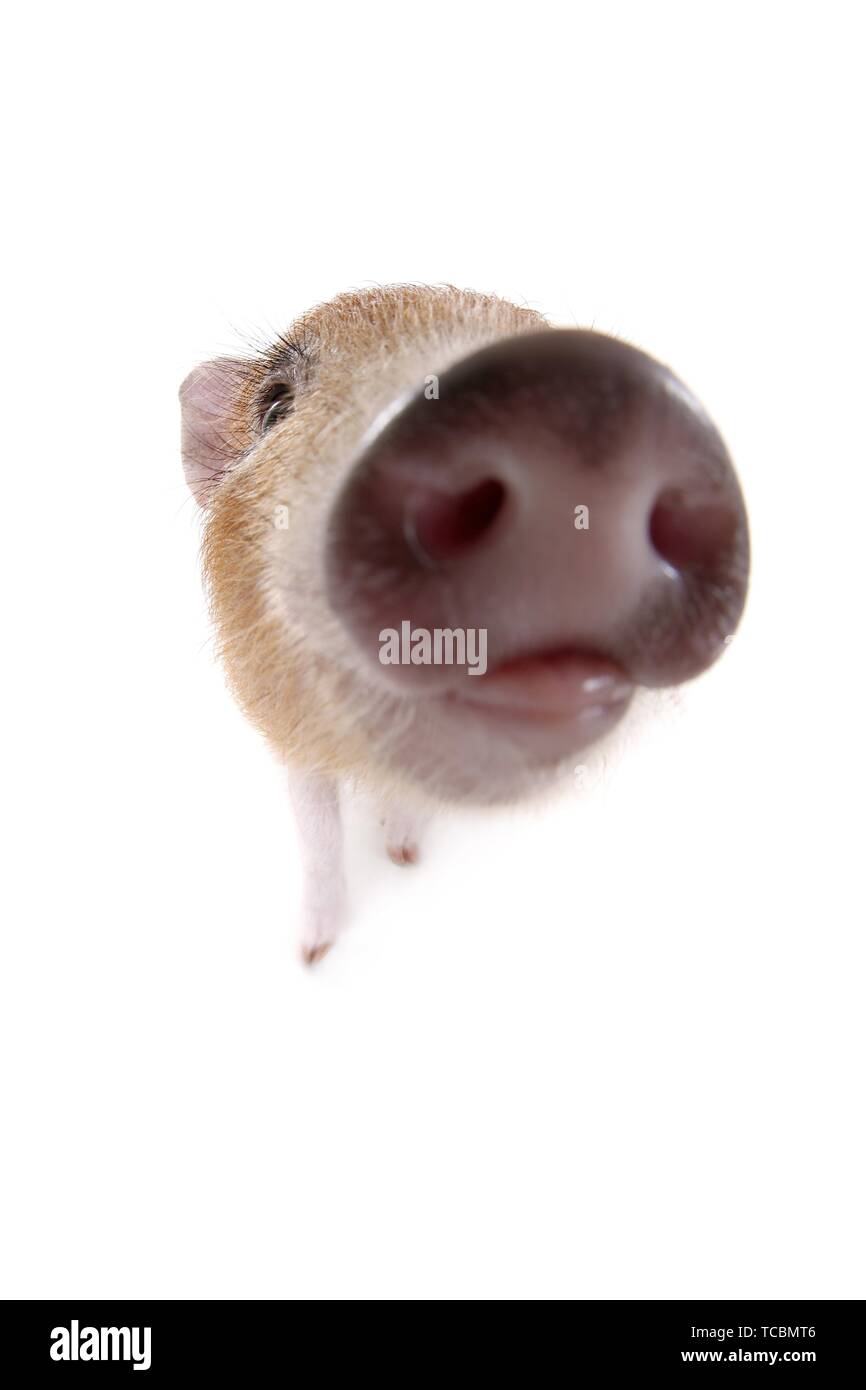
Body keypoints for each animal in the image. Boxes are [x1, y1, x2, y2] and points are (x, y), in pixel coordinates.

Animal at [180, 285, 749, 963]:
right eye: (274, 406)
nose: (566, 395)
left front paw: (403, 855)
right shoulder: (289, 733)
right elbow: (318, 836)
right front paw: (312, 954)